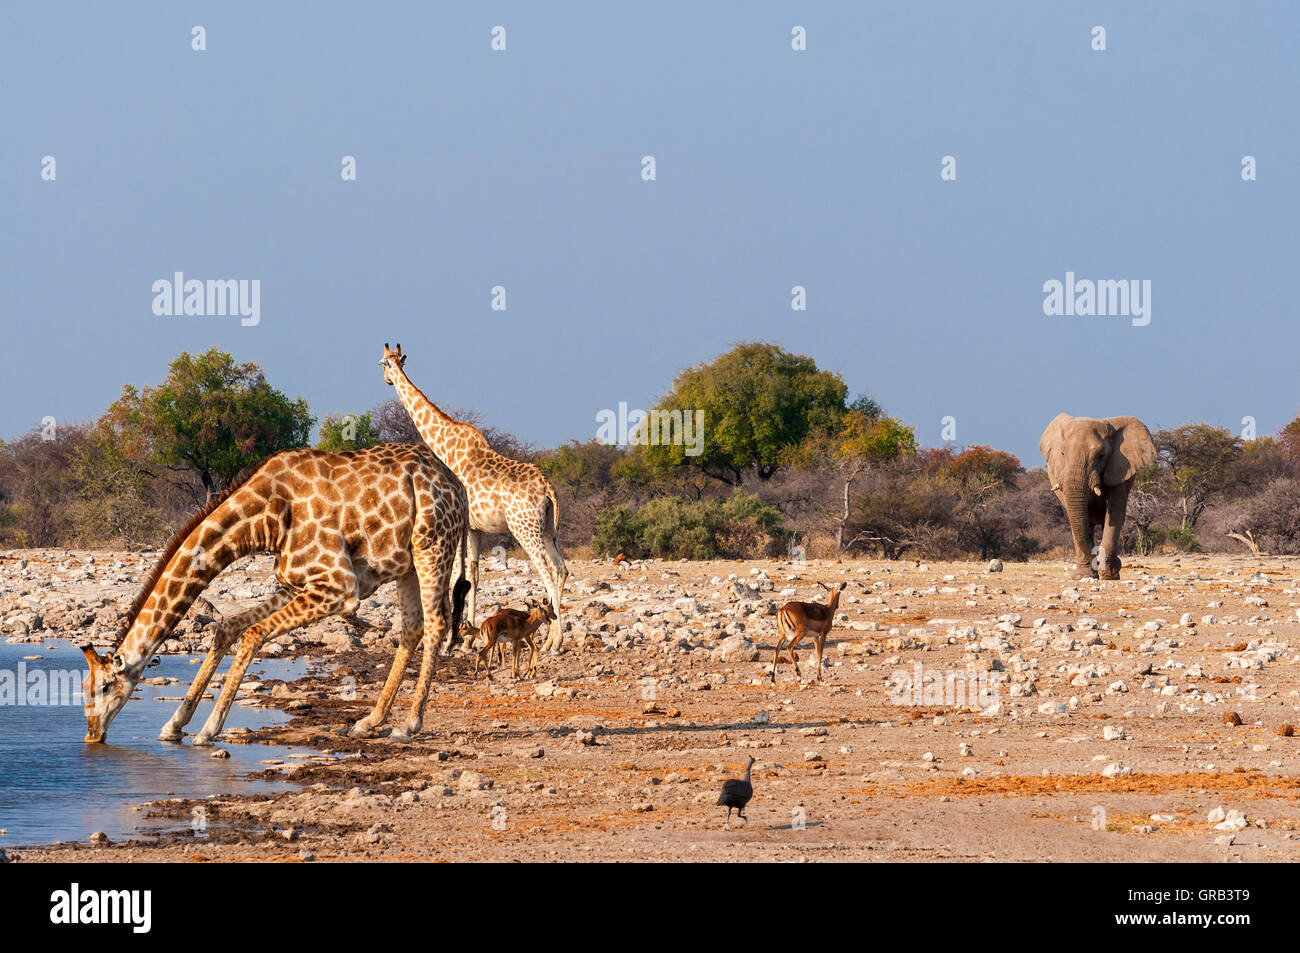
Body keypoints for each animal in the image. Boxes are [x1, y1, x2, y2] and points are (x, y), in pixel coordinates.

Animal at [78, 442, 470, 748]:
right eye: (84, 686)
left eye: (103, 688)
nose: (92, 734)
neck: (264, 517)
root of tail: (457, 484)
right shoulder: (295, 582)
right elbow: (227, 627)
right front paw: (175, 724)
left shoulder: (339, 587)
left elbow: (253, 633)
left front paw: (208, 730)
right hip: (406, 564)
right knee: (412, 628)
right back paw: (369, 722)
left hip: (433, 546)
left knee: (437, 623)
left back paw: (408, 725)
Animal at [379, 340, 566, 647]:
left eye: (383, 363)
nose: (387, 379)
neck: (446, 447)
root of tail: (546, 488)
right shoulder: (475, 528)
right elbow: (474, 578)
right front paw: (467, 637)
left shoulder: (456, 527)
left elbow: (456, 577)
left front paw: (449, 640)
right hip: (548, 528)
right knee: (562, 568)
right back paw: (551, 638)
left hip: (525, 528)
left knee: (548, 572)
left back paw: (558, 640)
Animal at [1034, 410, 1159, 577]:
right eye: (1062, 453)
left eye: (1101, 455)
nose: (1096, 558)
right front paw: (1084, 575)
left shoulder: (1120, 470)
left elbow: (1115, 512)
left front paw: (1109, 574)